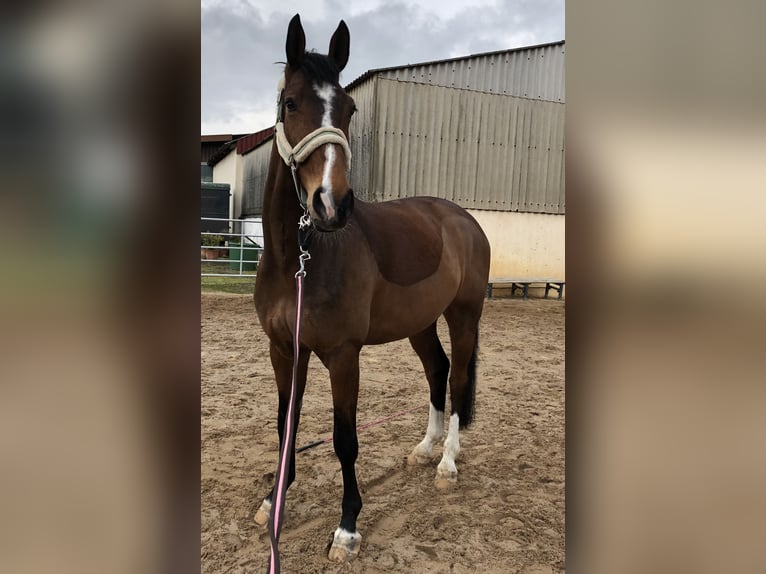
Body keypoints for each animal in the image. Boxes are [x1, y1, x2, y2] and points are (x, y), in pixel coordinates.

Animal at [254, 14, 492, 568]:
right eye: (290, 103)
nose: (331, 203)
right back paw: (425, 450)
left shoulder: (343, 355)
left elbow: (345, 440)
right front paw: (274, 502)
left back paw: (447, 463)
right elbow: (284, 425)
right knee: (438, 369)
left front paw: (346, 529)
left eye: (350, 108)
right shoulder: (285, 350)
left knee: (458, 379)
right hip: (421, 323)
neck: (298, 259)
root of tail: (463, 219)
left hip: (464, 314)